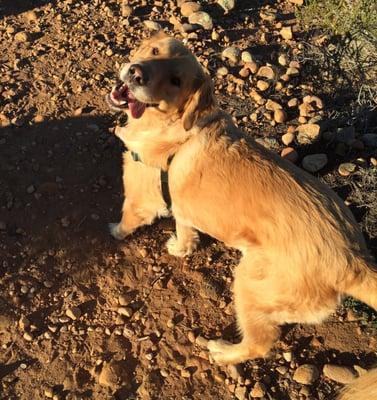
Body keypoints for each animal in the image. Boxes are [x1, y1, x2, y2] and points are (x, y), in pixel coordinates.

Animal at [105, 32, 376, 400]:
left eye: (175, 81)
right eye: (155, 51)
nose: (135, 73)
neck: (176, 126)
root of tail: (353, 260)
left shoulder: (139, 196)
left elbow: (127, 219)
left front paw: (115, 230)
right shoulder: (181, 206)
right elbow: (185, 227)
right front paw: (181, 247)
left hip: (250, 285)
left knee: (261, 343)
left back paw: (222, 351)